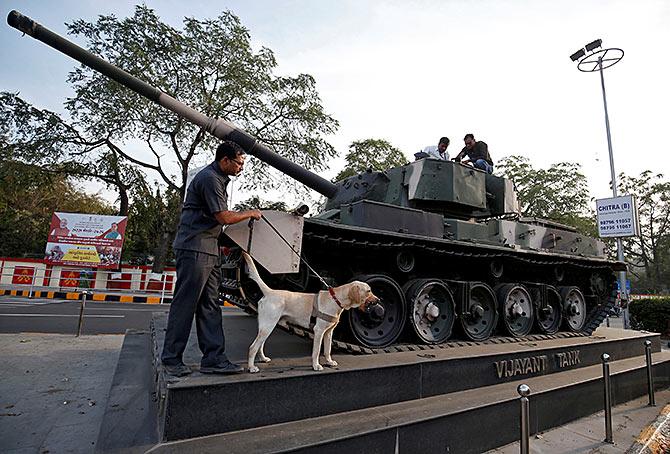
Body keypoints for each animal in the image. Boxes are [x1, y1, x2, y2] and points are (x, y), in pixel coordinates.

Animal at [243, 252, 380, 372]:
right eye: (368, 291)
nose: (379, 300)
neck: (335, 300)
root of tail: (269, 292)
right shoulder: (318, 331)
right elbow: (317, 351)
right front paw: (316, 366)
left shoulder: (329, 332)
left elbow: (327, 349)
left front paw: (329, 362)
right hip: (268, 326)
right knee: (253, 347)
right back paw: (251, 367)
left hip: (266, 326)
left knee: (260, 345)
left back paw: (263, 359)